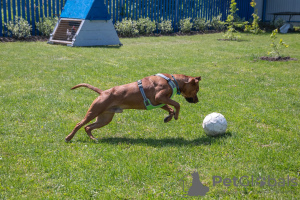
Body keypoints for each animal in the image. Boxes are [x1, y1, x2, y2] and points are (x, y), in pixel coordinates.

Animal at [65, 74, 202, 142]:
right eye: (197, 90)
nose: (197, 101)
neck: (172, 80)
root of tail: (102, 92)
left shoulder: (160, 101)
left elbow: (170, 108)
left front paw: (169, 117)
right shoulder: (159, 97)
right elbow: (177, 104)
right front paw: (176, 115)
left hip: (104, 119)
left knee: (88, 127)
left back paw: (93, 139)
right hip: (93, 112)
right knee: (79, 124)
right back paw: (69, 138)